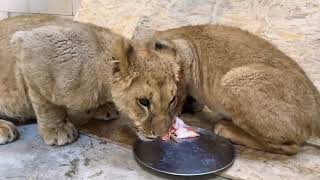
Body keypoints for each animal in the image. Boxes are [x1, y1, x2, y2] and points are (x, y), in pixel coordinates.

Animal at [0, 15, 180, 145]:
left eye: (172, 100)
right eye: (143, 102)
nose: (161, 135)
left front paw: (103, 108)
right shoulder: (30, 48)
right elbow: (47, 105)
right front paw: (58, 131)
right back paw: (5, 129)